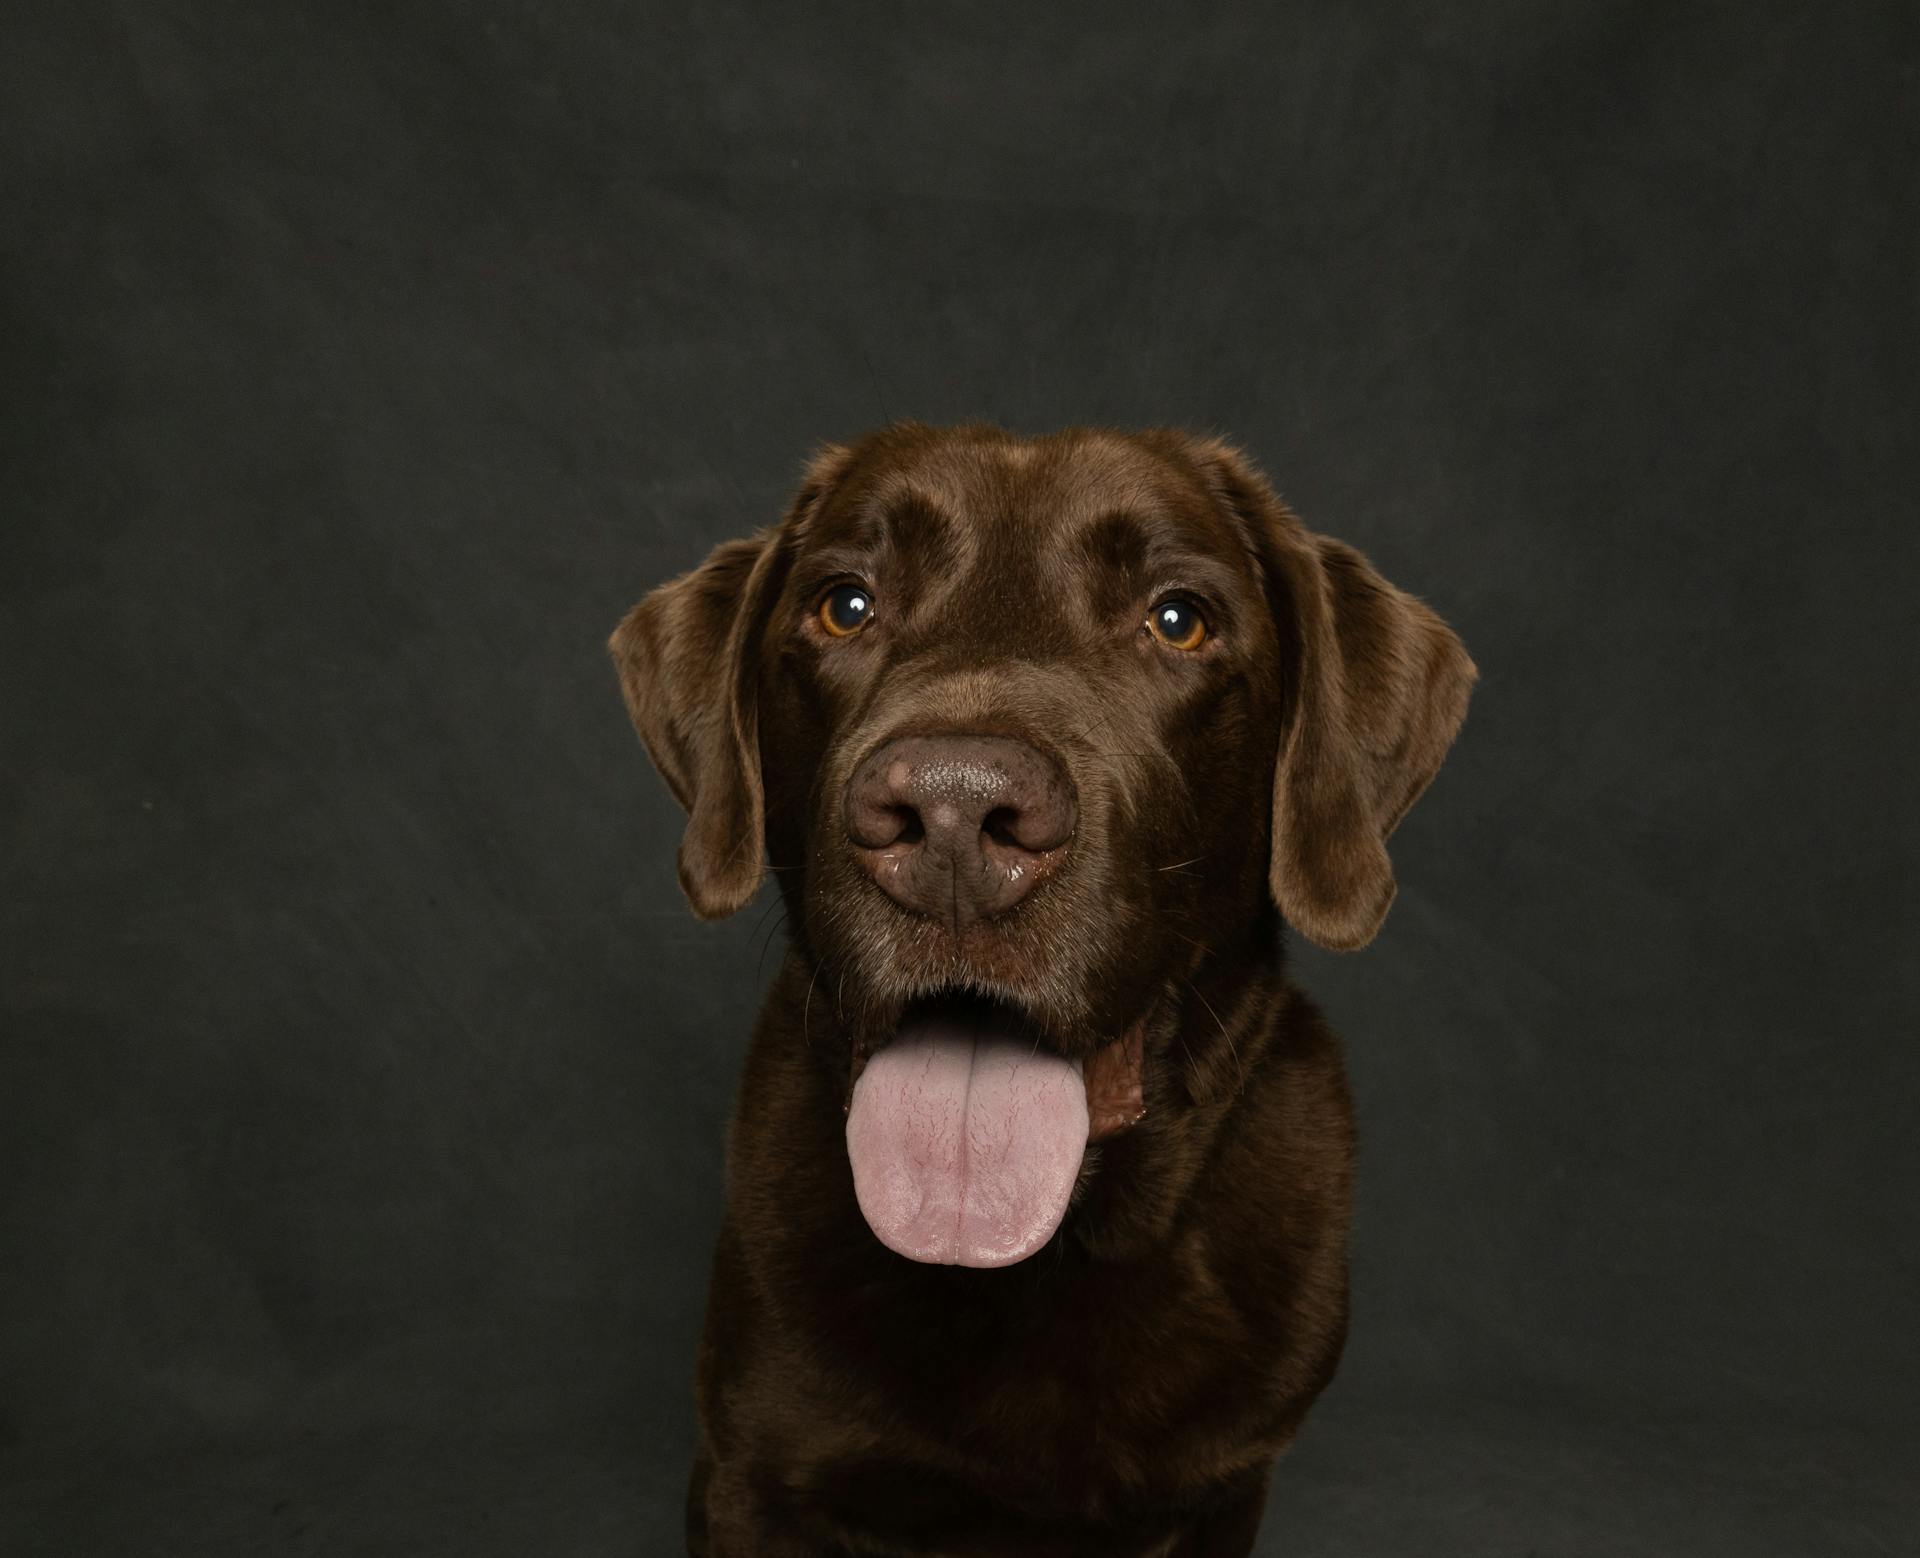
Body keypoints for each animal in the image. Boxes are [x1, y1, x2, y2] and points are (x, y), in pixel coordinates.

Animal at [606, 420, 1474, 1552]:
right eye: (846, 604)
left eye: (1179, 620)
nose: (953, 815)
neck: (1033, 1260)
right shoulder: (750, 1476)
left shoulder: (1221, 1490)